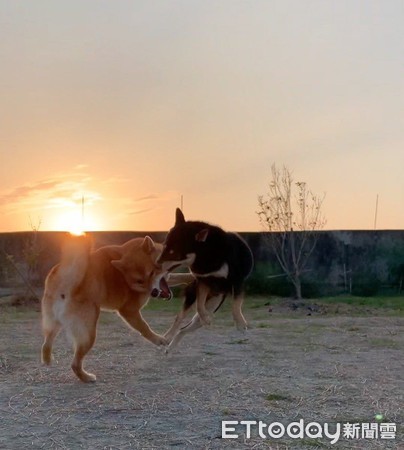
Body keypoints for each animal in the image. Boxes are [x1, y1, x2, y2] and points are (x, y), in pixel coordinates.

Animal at [41, 232, 193, 384]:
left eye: (153, 271)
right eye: (140, 280)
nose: (154, 293)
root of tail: (66, 284)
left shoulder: (168, 278)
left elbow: (181, 276)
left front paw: (191, 277)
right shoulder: (129, 310)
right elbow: (144, 328)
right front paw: (159, 340)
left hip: (54, 323)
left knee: (47, 342)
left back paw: (47, 359)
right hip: (89, 333)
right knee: (74, 364)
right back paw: (87, 377)